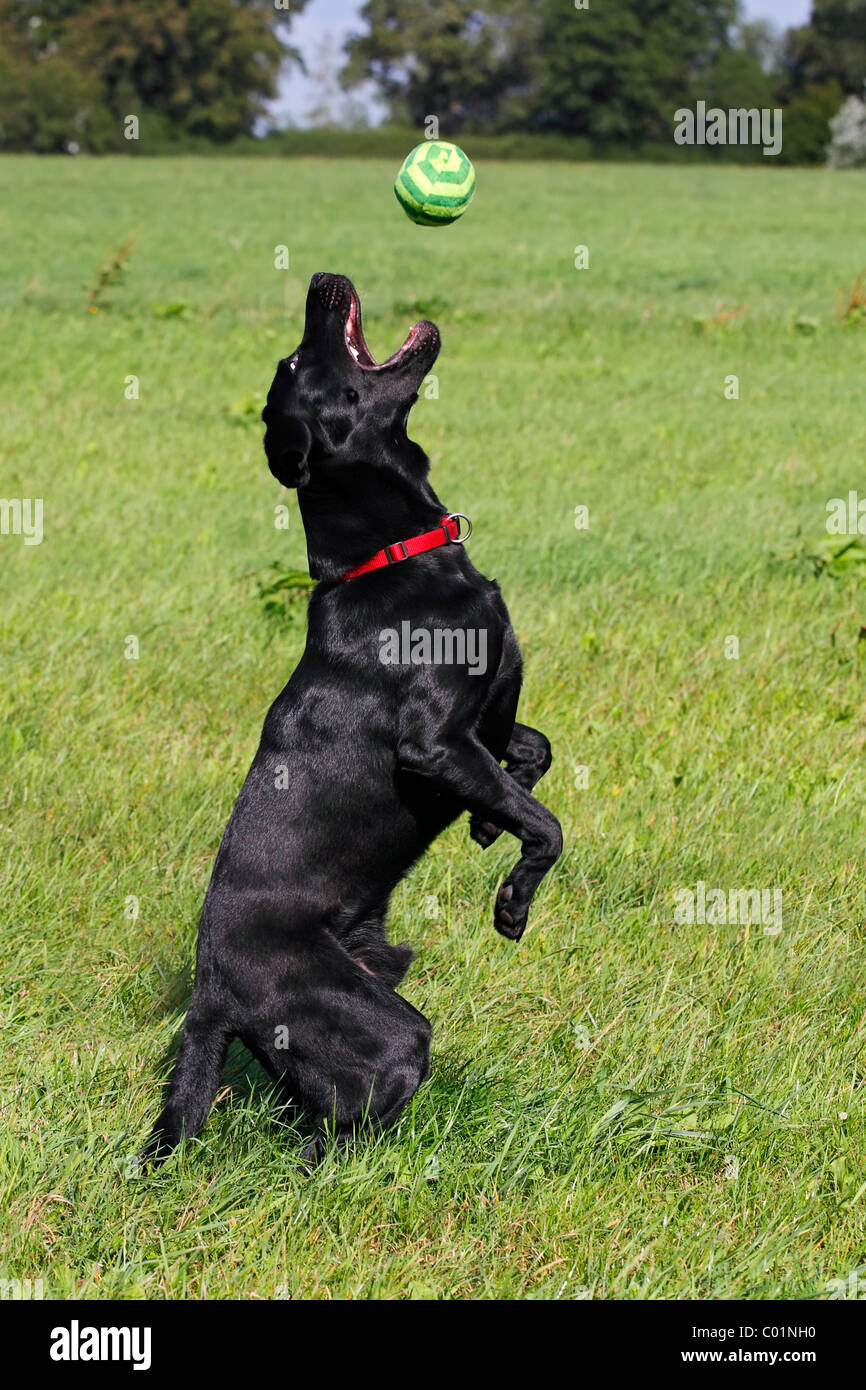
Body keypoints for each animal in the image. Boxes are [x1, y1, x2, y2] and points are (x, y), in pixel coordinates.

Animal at [145, 271, 567, 1162]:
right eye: (296, 359)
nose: (320, 280)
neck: (396, 552)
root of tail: (207, 994)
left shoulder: (481, 729)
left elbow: (534, 752)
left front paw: (488, 825)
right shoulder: (434, 745)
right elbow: (549, 825)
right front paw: (511, 903)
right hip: (383, 1031)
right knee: (330, 1134)